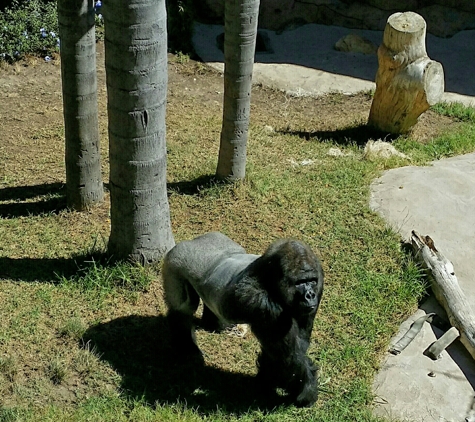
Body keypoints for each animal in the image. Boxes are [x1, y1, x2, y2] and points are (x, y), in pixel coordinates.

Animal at [163, 232, 324, 408]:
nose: (310, 295)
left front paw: (267, 381)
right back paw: (187, 349)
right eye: (300, 282)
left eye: (312, 281)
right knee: (183, 309)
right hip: (175, 261)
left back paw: (213, 325)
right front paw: (306, 392)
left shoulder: (319, 283)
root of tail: (192, 241)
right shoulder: (259, 300)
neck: (268, 276)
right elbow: (289, 357)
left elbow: (289, 348)